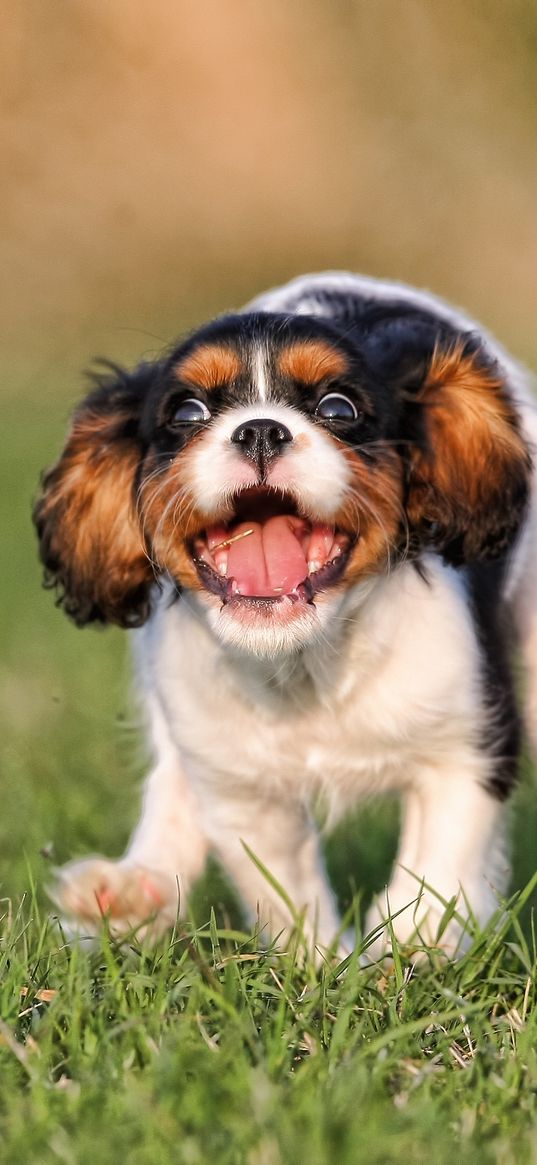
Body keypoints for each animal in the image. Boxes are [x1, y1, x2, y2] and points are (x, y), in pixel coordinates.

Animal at [33, 277, 535, 959]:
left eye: (339, 409)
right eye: (186, 413)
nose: (261, 431)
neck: (305, 659)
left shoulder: (468, 745)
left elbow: (439, 866)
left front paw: (404, 954)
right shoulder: (241, 787)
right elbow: (281, 888)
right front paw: (320, 964)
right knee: (172, 775)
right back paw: (134, 889)